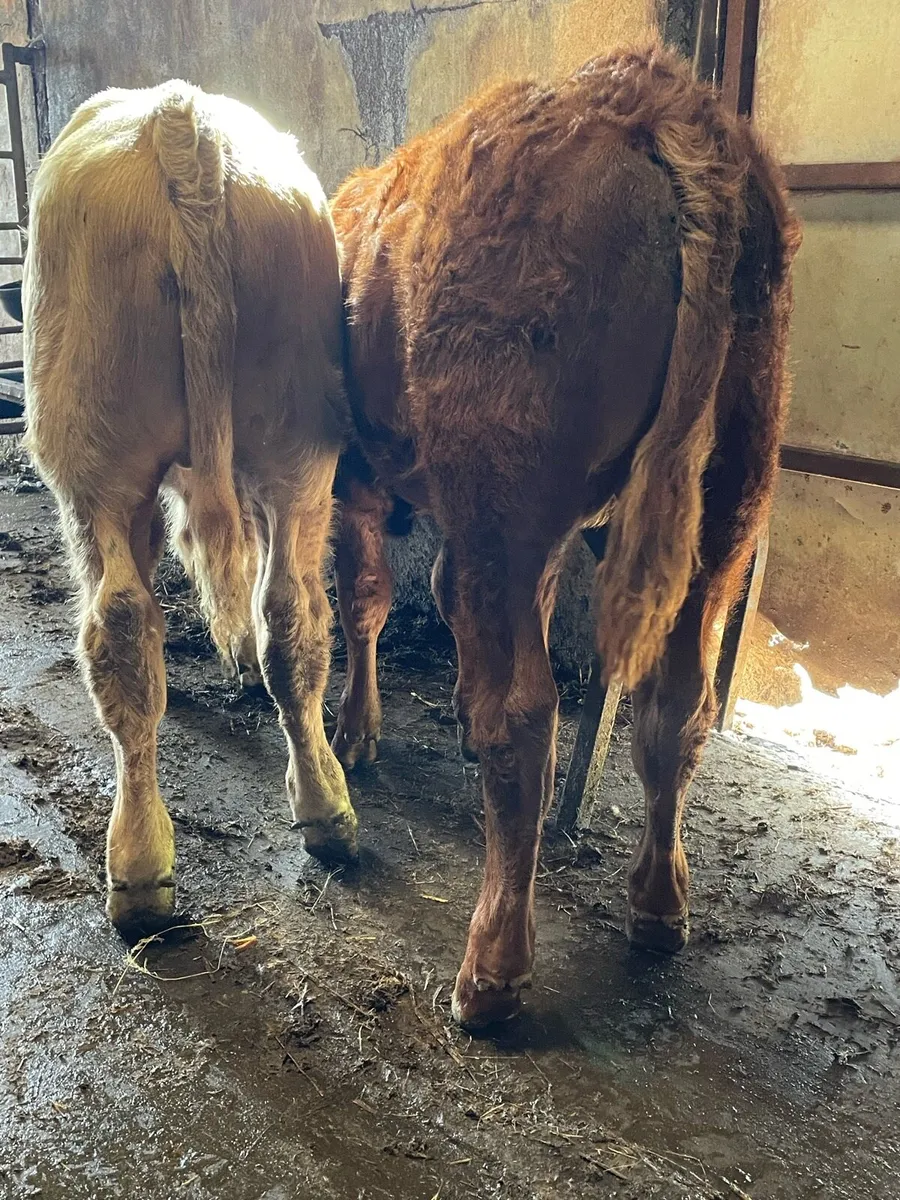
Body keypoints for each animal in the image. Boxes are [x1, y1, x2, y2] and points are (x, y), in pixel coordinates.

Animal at [24, 81, 359, 935]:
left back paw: (139, 869)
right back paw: (327, 810)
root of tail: (179, 119)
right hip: (299, 445)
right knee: (293, 615)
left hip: (93, 463)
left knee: (120, 626)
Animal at [330, 45, 801, 1029]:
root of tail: (658, 101)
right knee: (676, 702)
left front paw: (357, 731)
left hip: (501, 501)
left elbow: (368, 600)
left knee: (526, 711)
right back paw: (658, 907)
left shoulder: (358, 477)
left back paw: (491, 971)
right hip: (728, 499)